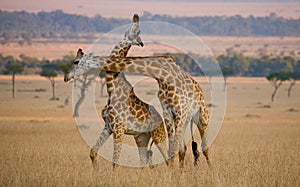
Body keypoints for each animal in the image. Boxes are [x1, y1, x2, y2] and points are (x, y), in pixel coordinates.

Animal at [65, 13, 168, 167]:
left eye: (76, 62)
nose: (66, 77)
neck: (112, 90)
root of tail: (161, 119)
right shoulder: (108, 126)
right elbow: (93, 152)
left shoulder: (119, 129)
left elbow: (115, 161)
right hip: (142, 137)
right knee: (144, 162)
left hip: (158, 135)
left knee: (169, 159)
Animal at [65, 53, 211, 167]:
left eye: (76, 62)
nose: (66, 77)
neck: (162, 74)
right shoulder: (168, 112)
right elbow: (172, 150)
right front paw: (174, 175)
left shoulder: (180, 110)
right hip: (185, 120)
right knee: (183, 148)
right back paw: (181, 172)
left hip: (200, 116)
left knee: (205, 148)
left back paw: (210, 170)